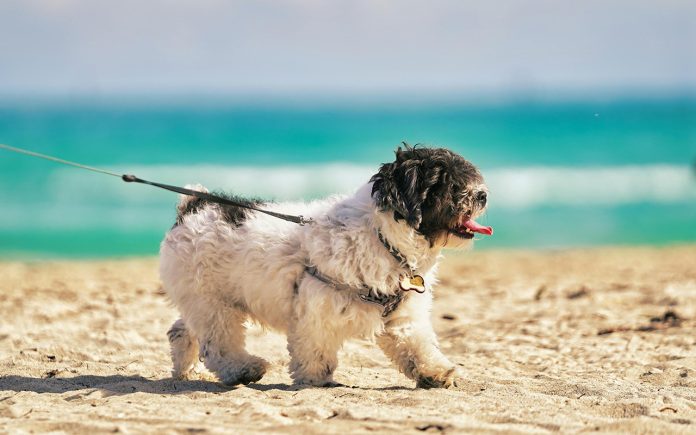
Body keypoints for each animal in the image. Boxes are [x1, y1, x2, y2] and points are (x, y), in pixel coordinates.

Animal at [160, 146, 492, 388]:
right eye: (451, 185)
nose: (483, 195)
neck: (381, 235)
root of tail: (192, 208)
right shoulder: (317, 304)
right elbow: (315, 347)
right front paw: (315, 377)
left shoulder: (401, 314)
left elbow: (416, 345)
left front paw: (434, 372)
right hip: (212, 302)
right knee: (219, 343)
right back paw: (243, 369)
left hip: (201, 300)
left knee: (182, 330)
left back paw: (184, 369)